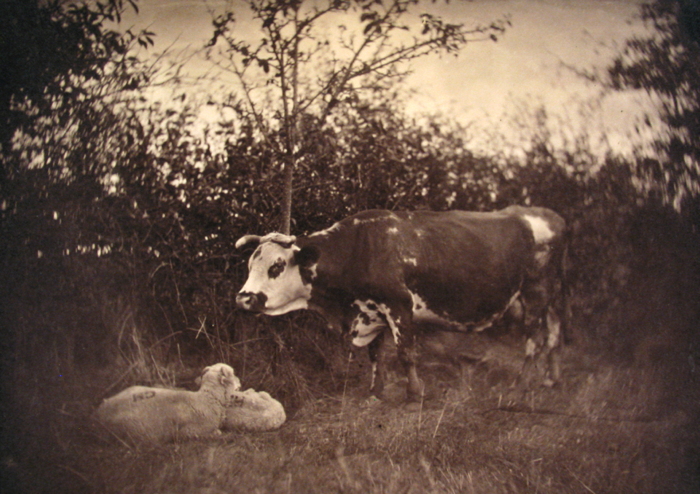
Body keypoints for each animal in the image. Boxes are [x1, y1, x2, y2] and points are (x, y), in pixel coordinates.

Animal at [96, 363, 241, 443]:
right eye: (233, 373)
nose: (240, 382)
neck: (208, 399)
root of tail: (98, 412)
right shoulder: (189, 432)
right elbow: (215, 434)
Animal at [235, 207, 566, 403]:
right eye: (251, 264)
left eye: (277, 266)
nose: (244, 297)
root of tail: (547, 215)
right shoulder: (371, 312)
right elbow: (375, 355)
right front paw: (375, 392)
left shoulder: (399, 306)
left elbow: (406, 354)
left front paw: (414, 394)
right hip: (552, 296)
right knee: (554, 335)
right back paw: (551, 380)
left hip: (535, 293)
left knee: (534, 342)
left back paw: (520, 386)